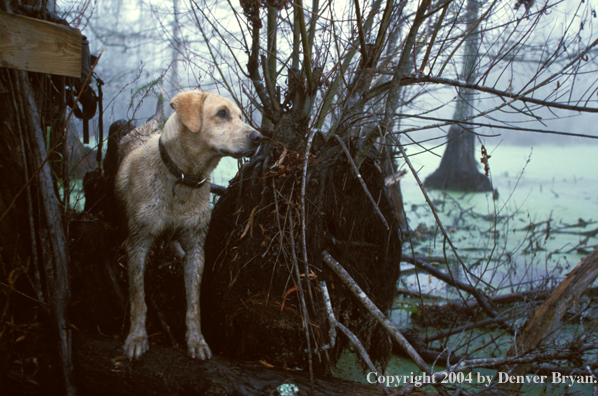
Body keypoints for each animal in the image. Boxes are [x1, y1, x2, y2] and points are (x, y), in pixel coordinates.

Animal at [116, 91, 264, 360]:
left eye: (240, 116)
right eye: (222, 113)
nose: (259, 137)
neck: (182, 178)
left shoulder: (196, 248)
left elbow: (194, 304)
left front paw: (196, 341)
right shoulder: (138, 245)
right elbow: (138, 298)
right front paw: (137, 337)